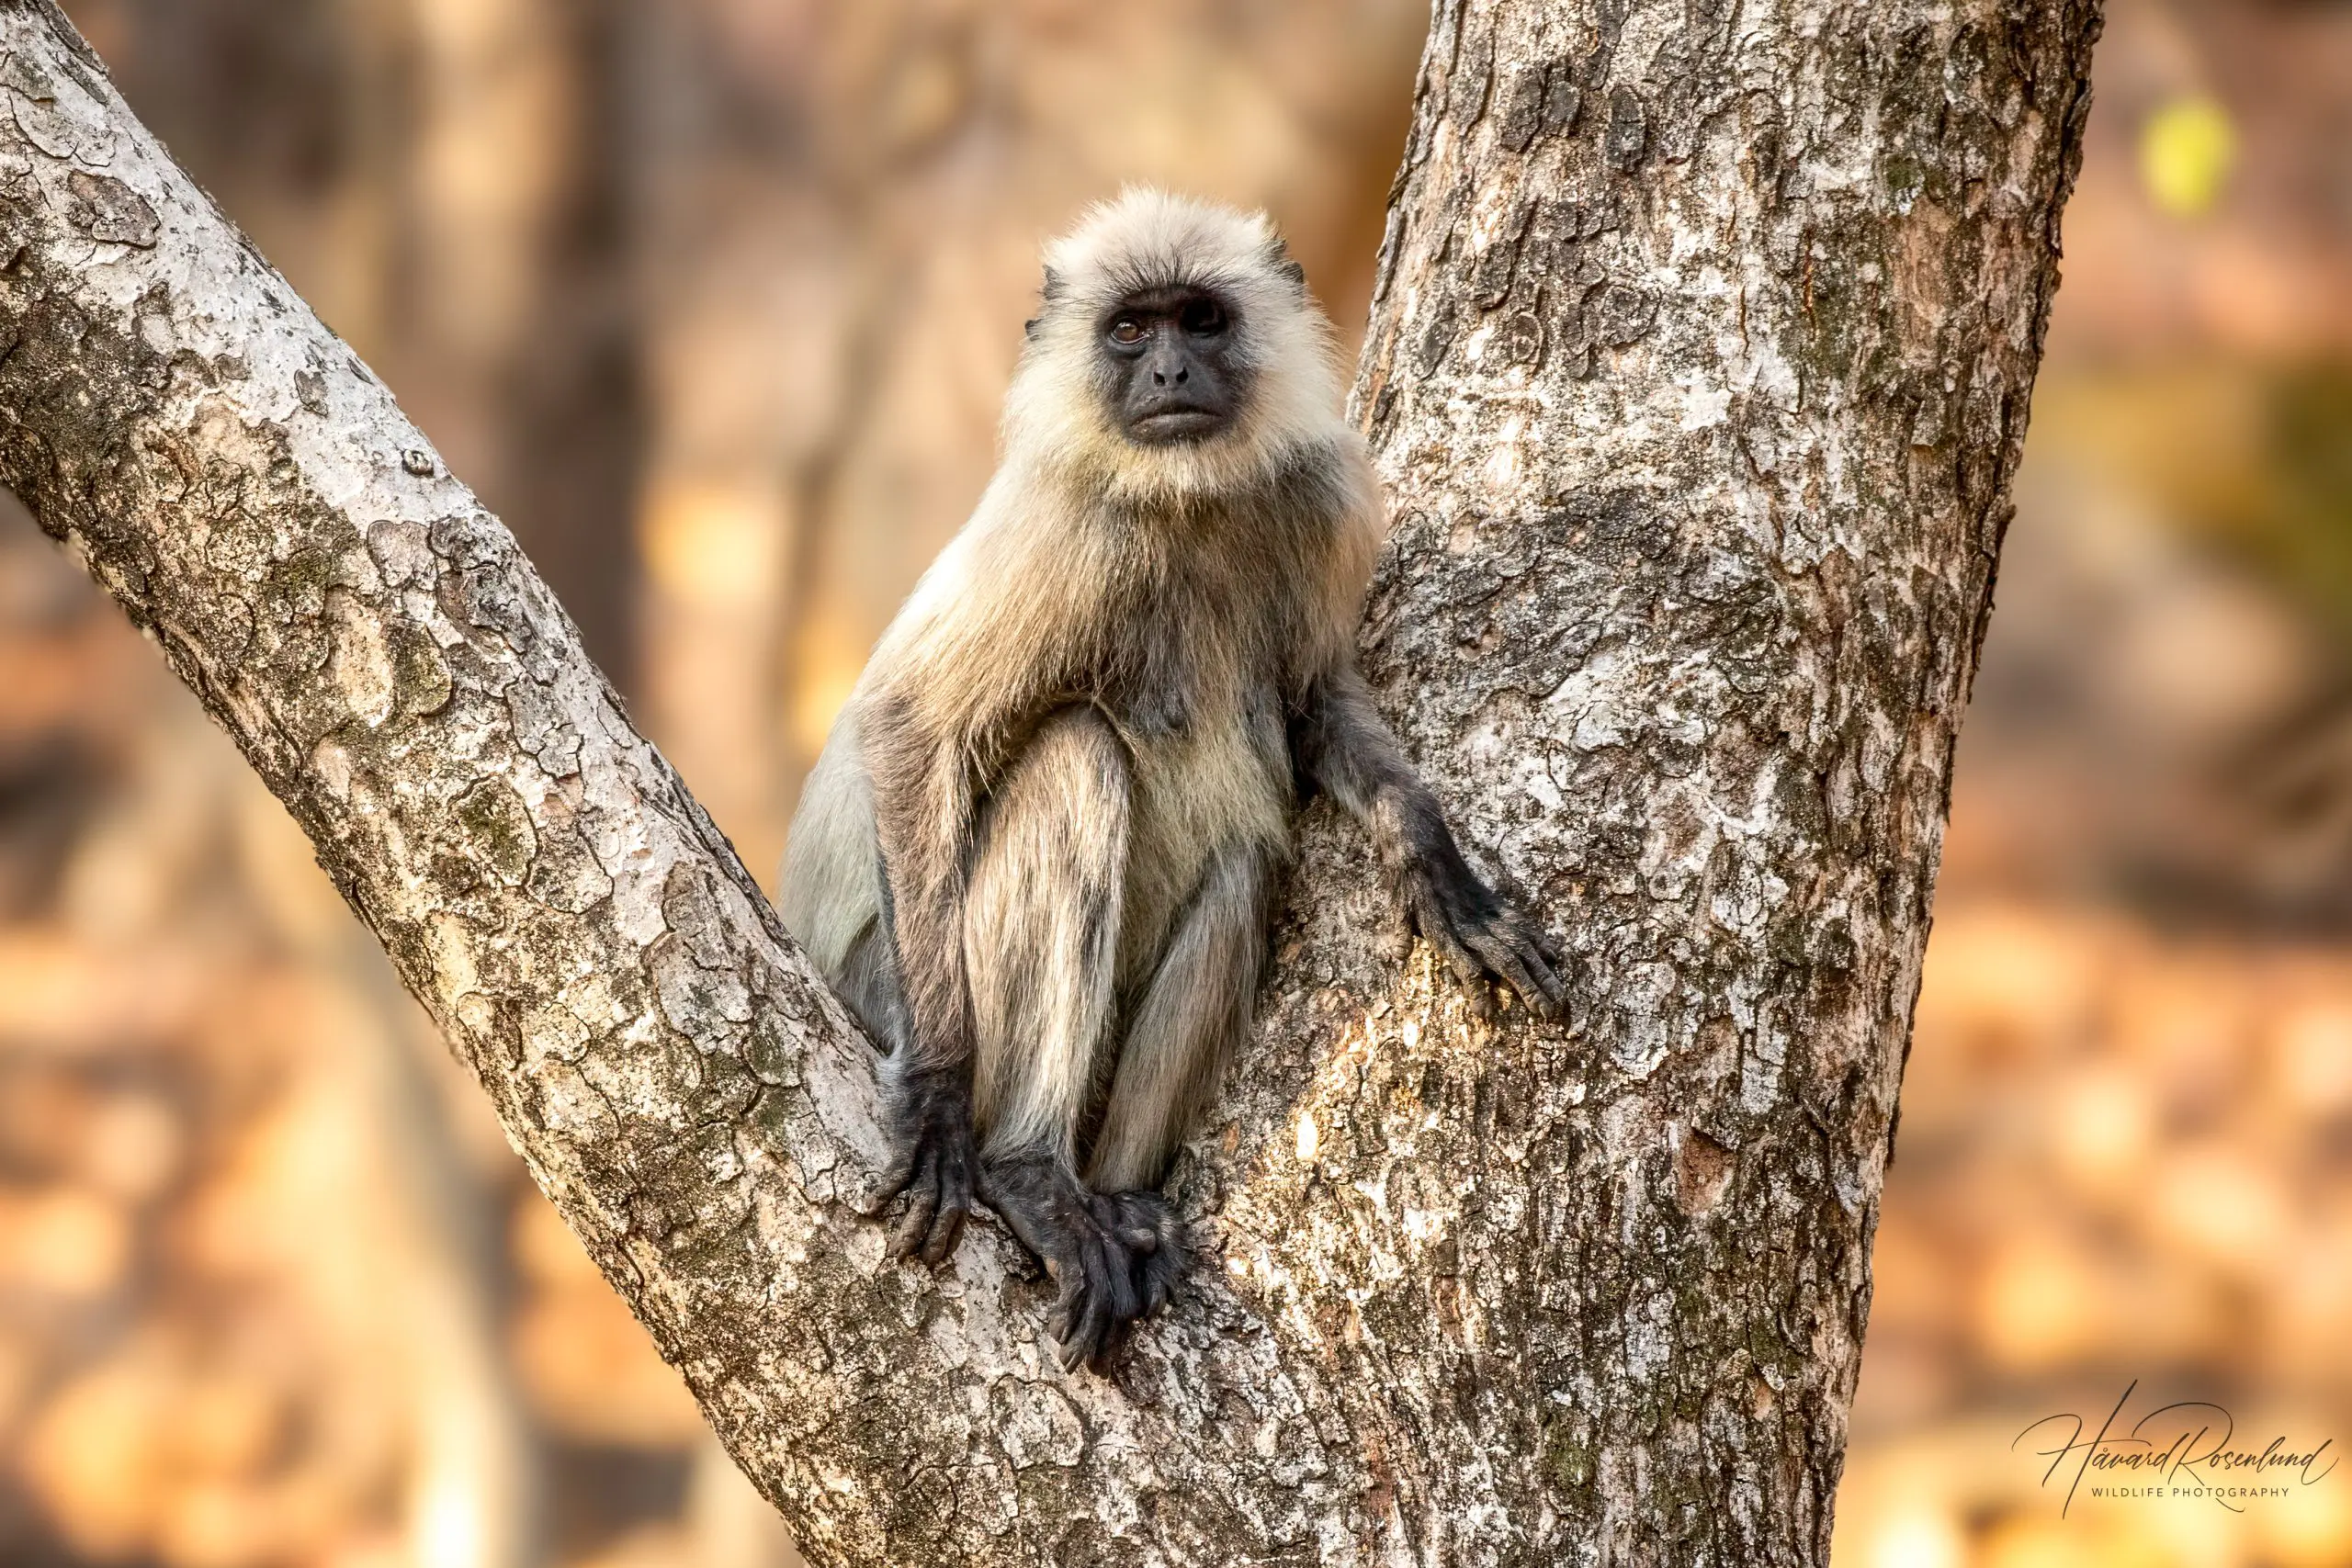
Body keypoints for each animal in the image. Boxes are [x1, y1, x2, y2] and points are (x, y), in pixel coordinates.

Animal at [780, 186, 1571, 1372]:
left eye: (1198, 321)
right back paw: (1028, 1175)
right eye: (1126, 331)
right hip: (883, 983)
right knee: (1079, 754)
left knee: (1241, 867)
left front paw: (1431, 859)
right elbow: (909, 725)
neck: (1184, 502)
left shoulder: (1315, 500)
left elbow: (1309, 702)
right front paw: (937, 1102)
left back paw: (1112, 1198)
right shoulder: (1066, 528)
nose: (1165, 374)